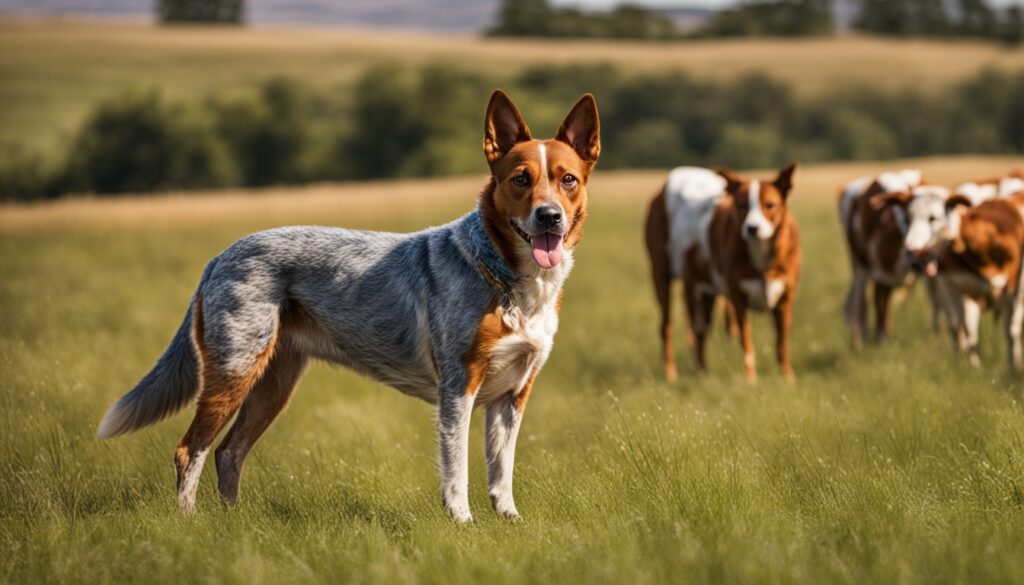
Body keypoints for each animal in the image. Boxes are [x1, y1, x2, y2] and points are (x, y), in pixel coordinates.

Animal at [97, 90, 598, 522]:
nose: (549, 216)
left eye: (568, 180)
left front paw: (509, 522)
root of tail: (219, 257)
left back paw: (233, 523)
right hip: (234, 370)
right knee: (191, 450)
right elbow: (457, 471)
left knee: (229, 451)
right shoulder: (458, 387)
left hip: (273, 385)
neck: (510, 281)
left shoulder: (513, 395)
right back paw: (190, 523)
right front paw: (463, 525)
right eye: (521, 180)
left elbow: (501, 472)